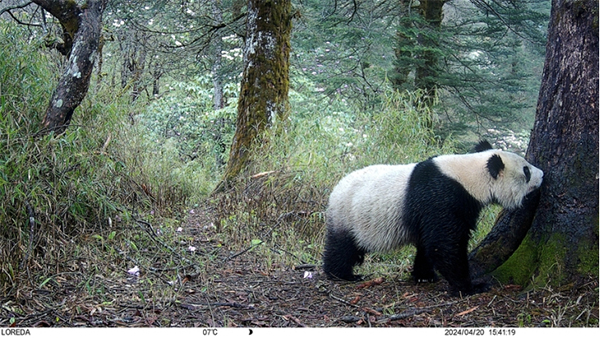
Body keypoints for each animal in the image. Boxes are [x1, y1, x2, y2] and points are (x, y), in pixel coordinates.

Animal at [324, 140, 544, 294]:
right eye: (526, 170)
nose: (542, 174)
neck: (470, 174)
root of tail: (335, 190)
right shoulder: (441, 196)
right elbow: (445, 243)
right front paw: (470, 286)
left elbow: (429, 243)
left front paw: (425, 276)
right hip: (347, 215)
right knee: (342, 247)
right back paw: (342, 274)